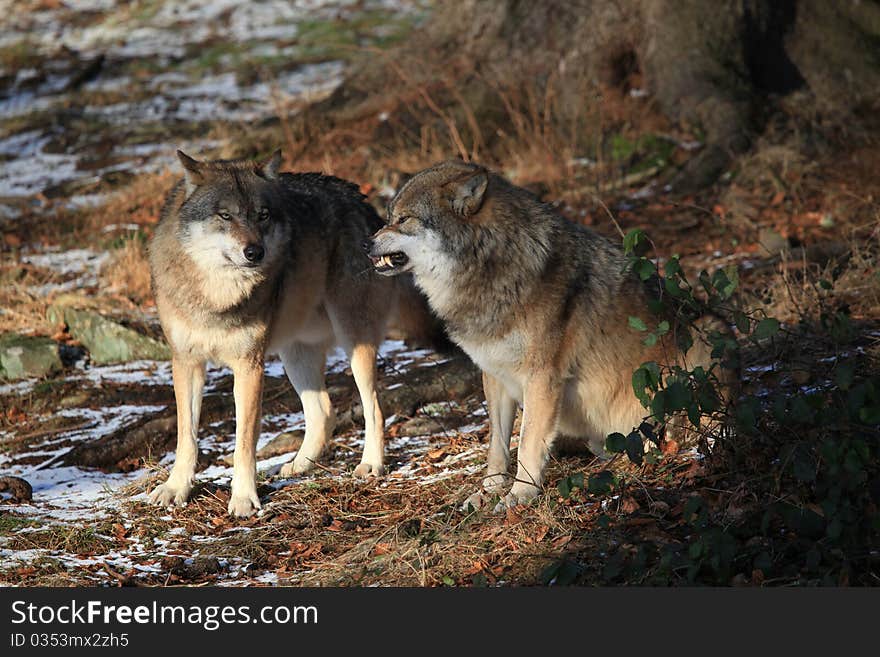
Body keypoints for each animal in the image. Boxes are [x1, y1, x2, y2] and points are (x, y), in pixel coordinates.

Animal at [149, 151, 396, 516]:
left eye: (262, 215)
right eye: (225, 215)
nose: (255, 252)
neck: (217, 296)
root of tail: (360, 198)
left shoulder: (249, 365)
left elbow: (244, 441)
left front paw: (243, 498)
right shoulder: (186, 362)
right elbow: (186, 438)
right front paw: (176, 488)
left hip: (354, 340)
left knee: (373, 407)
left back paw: (371, 464)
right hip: (294, 355)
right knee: (324, 411)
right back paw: (299, 465)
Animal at [368, 161, 732, 510]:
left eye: (403, 219)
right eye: (389, 218)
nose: (366, 243)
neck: (490, 267)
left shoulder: (542, 376)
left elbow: (527, 443)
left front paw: (520, 495)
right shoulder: (494, 376)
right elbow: (498, 446)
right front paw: (487, 491)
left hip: (707, 333)